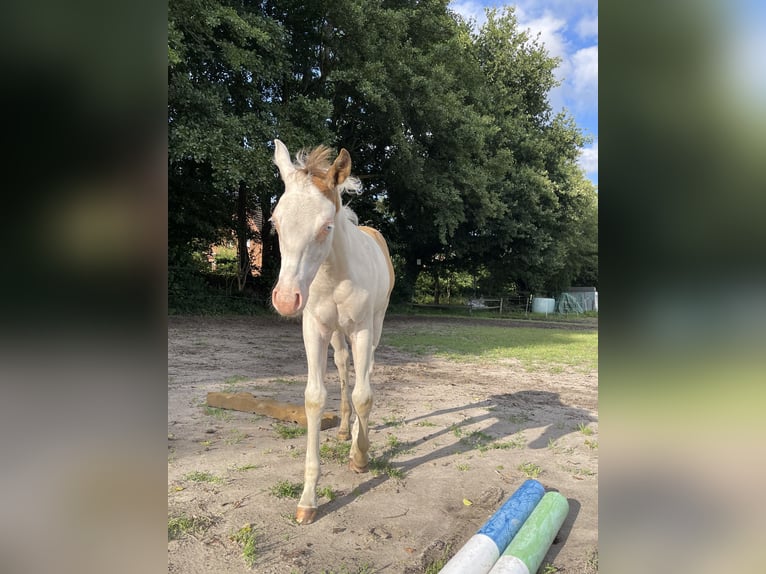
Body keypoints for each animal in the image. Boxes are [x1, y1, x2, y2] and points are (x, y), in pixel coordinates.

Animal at [270, 140, 396, 528]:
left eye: (326, 226)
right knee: (342, 367)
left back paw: (356, 438)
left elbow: (364, 395)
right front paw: (307, 500)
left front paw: (360, 457)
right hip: (338, 334)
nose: (285, 299)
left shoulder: (362, 328)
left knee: (365, 373)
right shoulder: (314, 329)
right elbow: (314, 397)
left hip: (374, 326)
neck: (333, 273)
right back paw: (343, 429)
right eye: (275, 223)